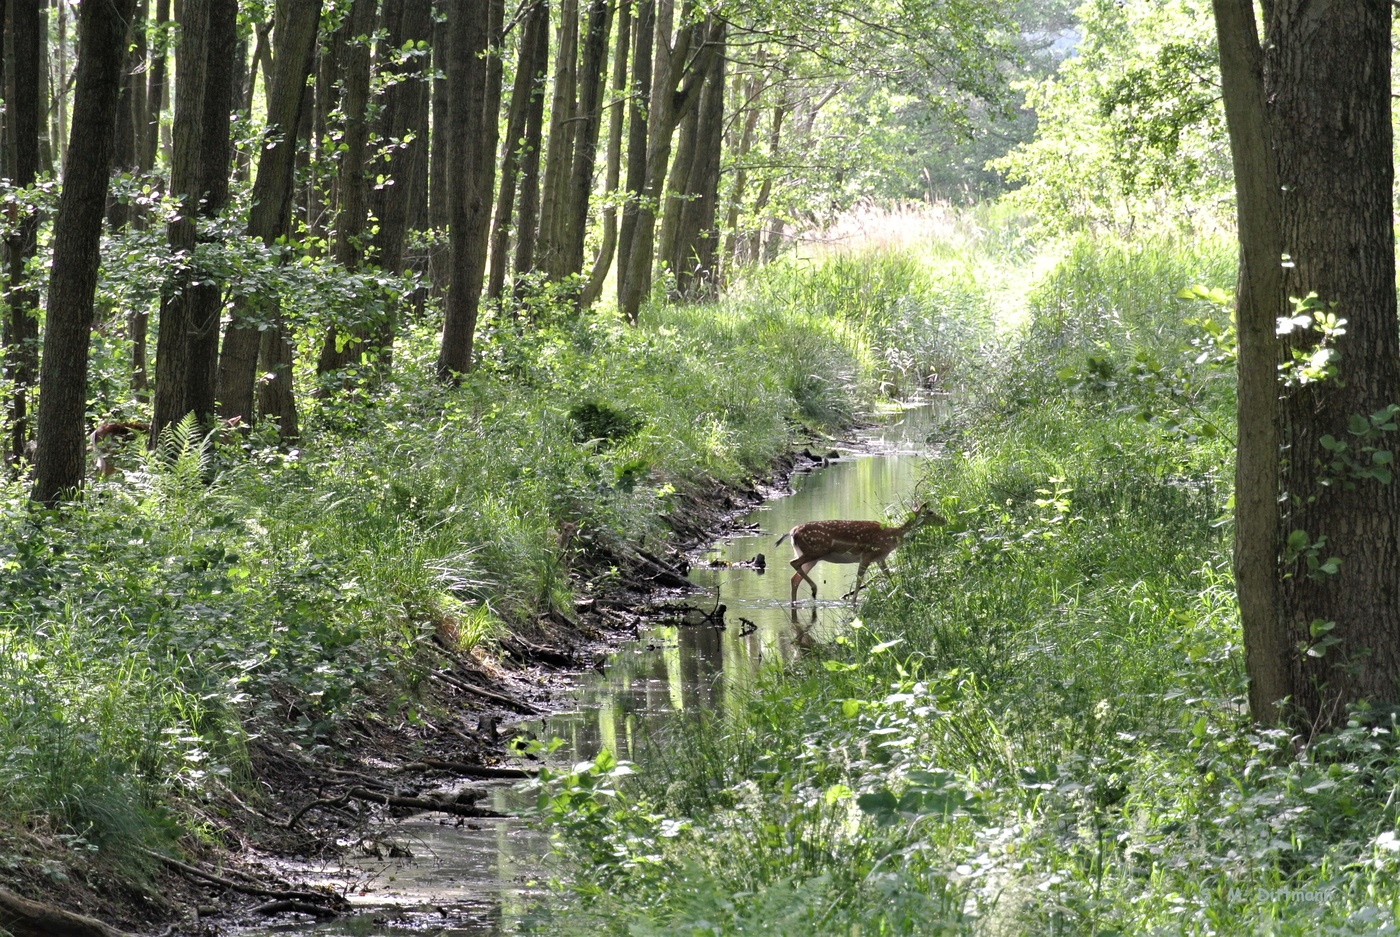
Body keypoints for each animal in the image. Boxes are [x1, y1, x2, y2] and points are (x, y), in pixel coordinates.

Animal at [772, 501, 946, 602]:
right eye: (930, 512)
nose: (944, 520)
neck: (892, 536)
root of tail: (792, 532)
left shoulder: (880, 558)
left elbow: (888, 575)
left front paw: (898, 591)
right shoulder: (867, 555)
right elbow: (859, 579)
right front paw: (853, 601)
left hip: (810, 555)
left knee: (794, 578)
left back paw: (797, 601)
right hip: (814, 551)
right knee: (793, 563)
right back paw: (814, 589)